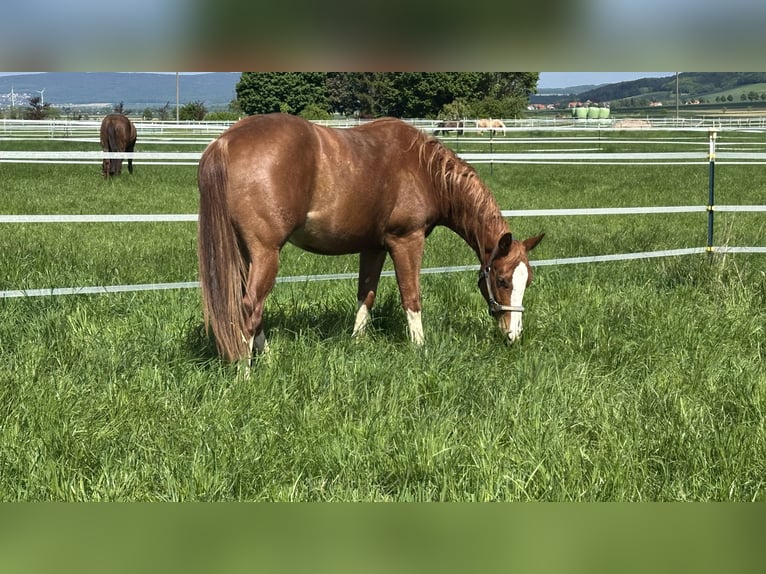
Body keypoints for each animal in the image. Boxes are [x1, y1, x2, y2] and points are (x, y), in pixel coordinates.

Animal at [197, 113, 544, 362]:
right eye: (501, 280)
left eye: (527, 282)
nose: (513, 334)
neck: (424, 170)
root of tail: (226, 142)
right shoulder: (407, 241)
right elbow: (411, 297)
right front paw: (420, 348)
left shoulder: (373, 248)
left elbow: (367, 295)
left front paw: (357, 342)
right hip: (266, 253)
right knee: (249, 307)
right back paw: (246, 373)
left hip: (244, 253)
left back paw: (267, 359)